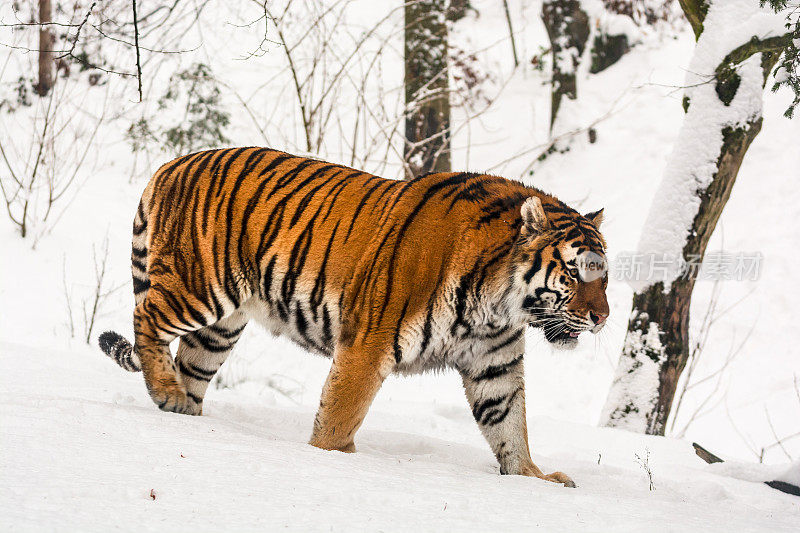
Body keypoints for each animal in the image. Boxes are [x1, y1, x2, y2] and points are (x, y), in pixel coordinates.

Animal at [101, 145, 608, 486]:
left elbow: (510, 423)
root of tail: (170, 165)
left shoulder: (494, 363)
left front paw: (533, 478)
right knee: (145, 317)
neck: (499, 306)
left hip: (219, 329)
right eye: (574, 271)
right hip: (200, 289)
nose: (603, 317)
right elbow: (341, 411)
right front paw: (333, 459)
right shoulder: (368, 342)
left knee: (189, 364)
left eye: (604, 274)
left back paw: (184, 411)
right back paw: (166, 392)